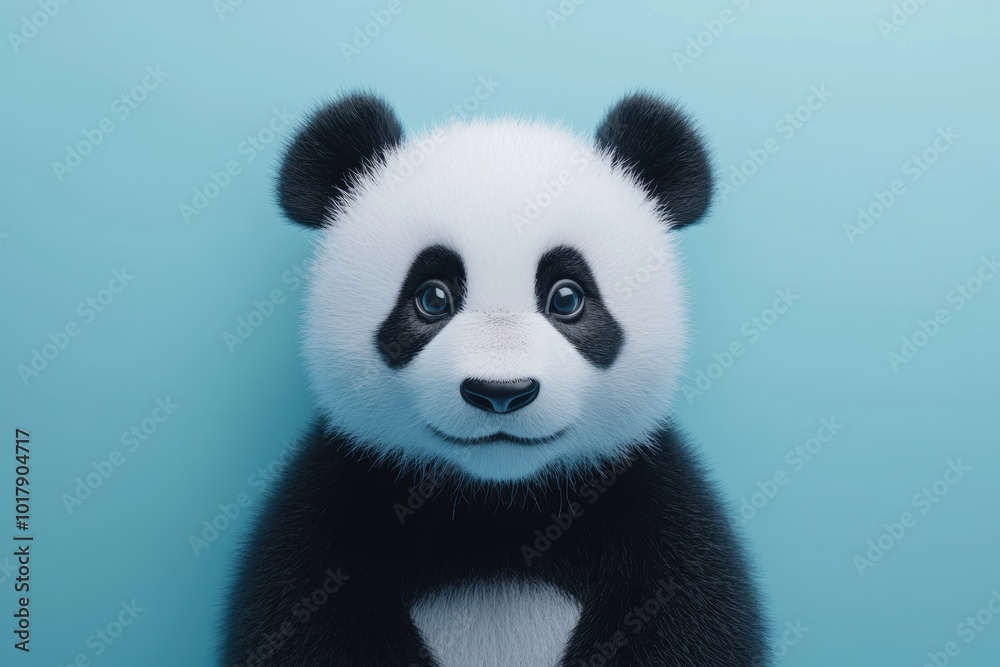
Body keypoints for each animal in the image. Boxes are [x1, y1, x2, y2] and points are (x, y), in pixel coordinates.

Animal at [221, 91, 769, 667]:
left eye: (567, 297)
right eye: (432, 297)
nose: (500, 393)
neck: (498, 510)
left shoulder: (650, 506)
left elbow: (689, 620)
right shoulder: (338, 504)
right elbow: (305, 621)